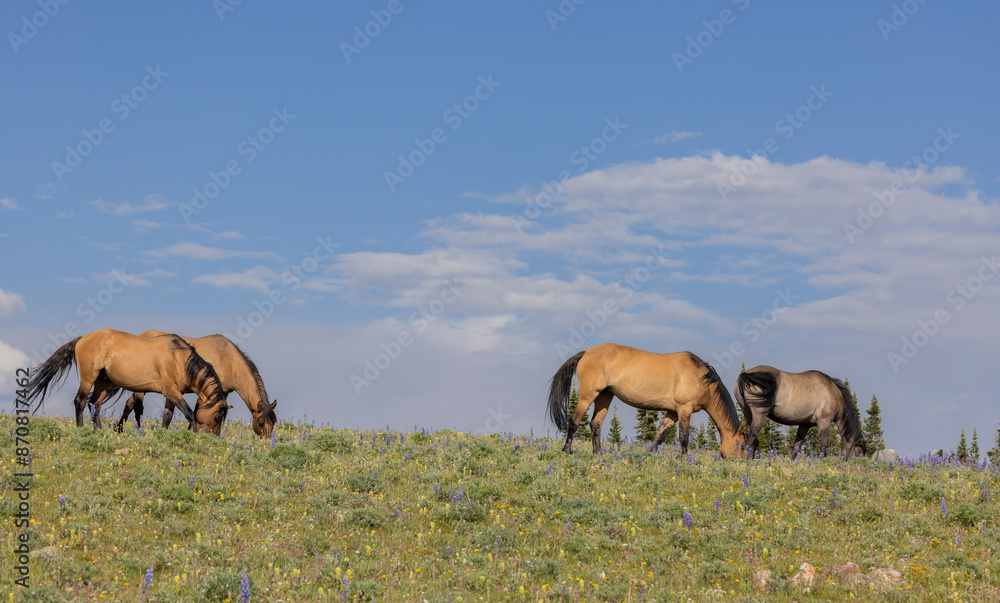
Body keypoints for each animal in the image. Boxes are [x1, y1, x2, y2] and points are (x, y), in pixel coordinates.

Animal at [25, 329, 231, 433]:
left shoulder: (172, 394)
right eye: (217, 417)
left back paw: (99, 430)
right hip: (88, 378)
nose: (213, 438)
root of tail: (83, 338)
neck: (178, 358)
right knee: (80, 401)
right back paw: (81, 429)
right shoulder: (171, 391)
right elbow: (189, 413)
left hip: (103, 381)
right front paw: (193, 434)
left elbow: (167, 416)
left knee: (95, 404)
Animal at [101, 330, 277, 437]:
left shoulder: (222, 393)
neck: (229, 360)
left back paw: (119, 429)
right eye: (261, 423)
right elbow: (198, 412)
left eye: (273, 422)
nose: (268, 441)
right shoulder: (206, 393)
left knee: (129, 403)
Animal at [547, 343, 746, 458]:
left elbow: (660, 435)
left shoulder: (673, 412)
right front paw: (683, 459)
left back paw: (598, 454)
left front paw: (648, 455)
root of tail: (587, 352)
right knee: (574, 421)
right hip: (588, 394)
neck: (700, 378)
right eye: (743, 446)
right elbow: (683, 436)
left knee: (596, 424)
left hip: (604, 395)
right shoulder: (684, 409)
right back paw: (567, 451)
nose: (743, 464)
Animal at [734, 366, 867, 460]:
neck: (834, 394)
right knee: (753, 435)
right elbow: (824, 445)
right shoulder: (824, 421)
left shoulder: (804, 424)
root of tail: (744, 375)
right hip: (759, 414)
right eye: (859, 453)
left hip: (748, 413)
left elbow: (797, 446)